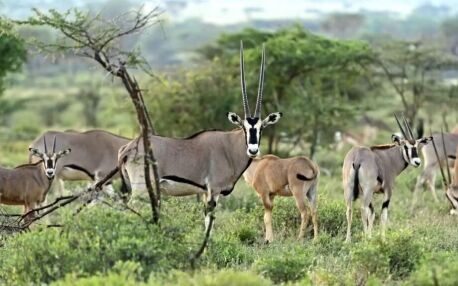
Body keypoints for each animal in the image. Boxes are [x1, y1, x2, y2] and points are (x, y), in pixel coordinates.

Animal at [117, 42, 282, 244]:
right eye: (243, 127)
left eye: (262, 128)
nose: (253, 150)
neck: (229, 147)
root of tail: (128, 147)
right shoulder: (214, 190)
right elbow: (209, 221)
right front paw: (207, 246)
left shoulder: (204, 192)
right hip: (140, 190)